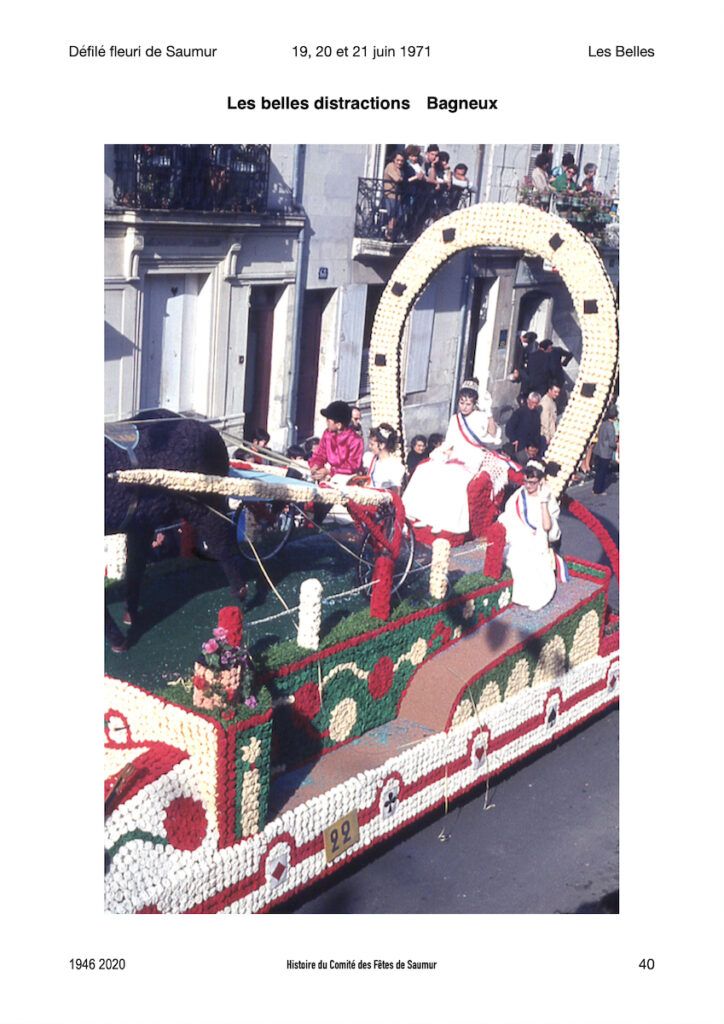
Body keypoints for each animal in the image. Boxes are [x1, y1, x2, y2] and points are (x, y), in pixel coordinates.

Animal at [103, 411, 246, 651]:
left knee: (222, 537)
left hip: (204, 503)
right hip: (145, 519)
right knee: (137, 563)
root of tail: (212, 432)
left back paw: (241, 593)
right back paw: (130, 613)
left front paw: (118, 642)